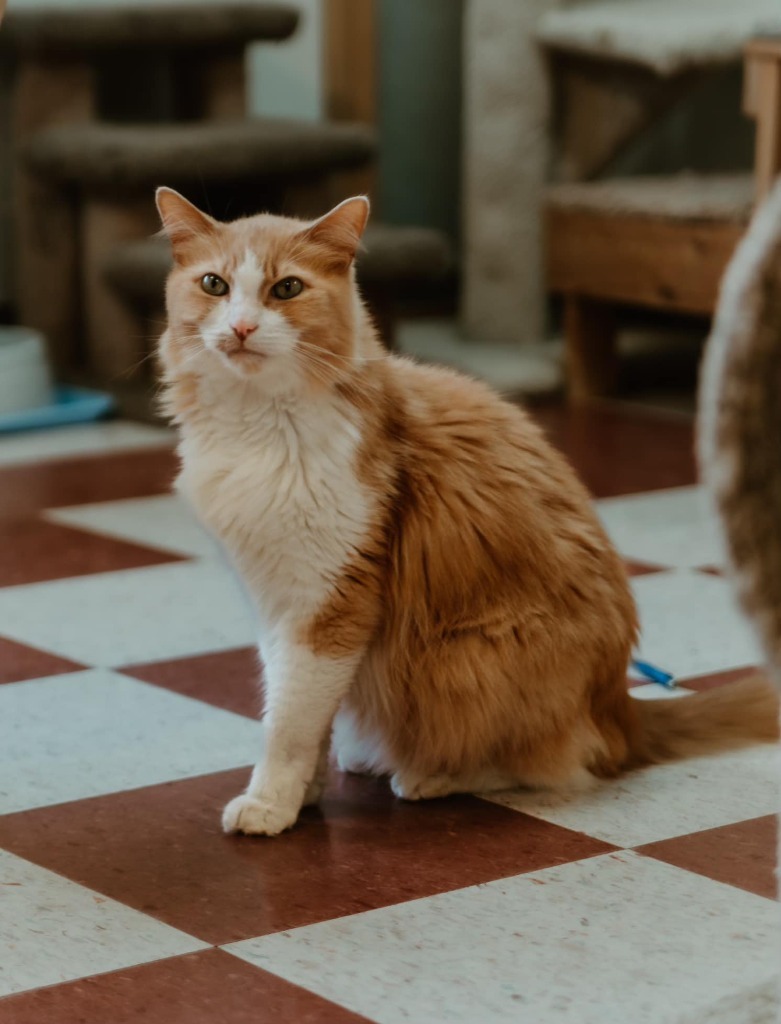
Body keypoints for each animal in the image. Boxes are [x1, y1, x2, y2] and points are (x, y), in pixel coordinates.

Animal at [155, 188, 777, 835]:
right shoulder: (275, 602)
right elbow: (307, 717)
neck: (256, 425)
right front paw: (305, 796)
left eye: (286, 289)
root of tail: (622, 708)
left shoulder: (328, 607)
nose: (242, 326)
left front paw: (271, 801)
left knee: (556, 762)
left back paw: (427, 777)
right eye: (215, 285)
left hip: (465, 661)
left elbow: (289, 723)